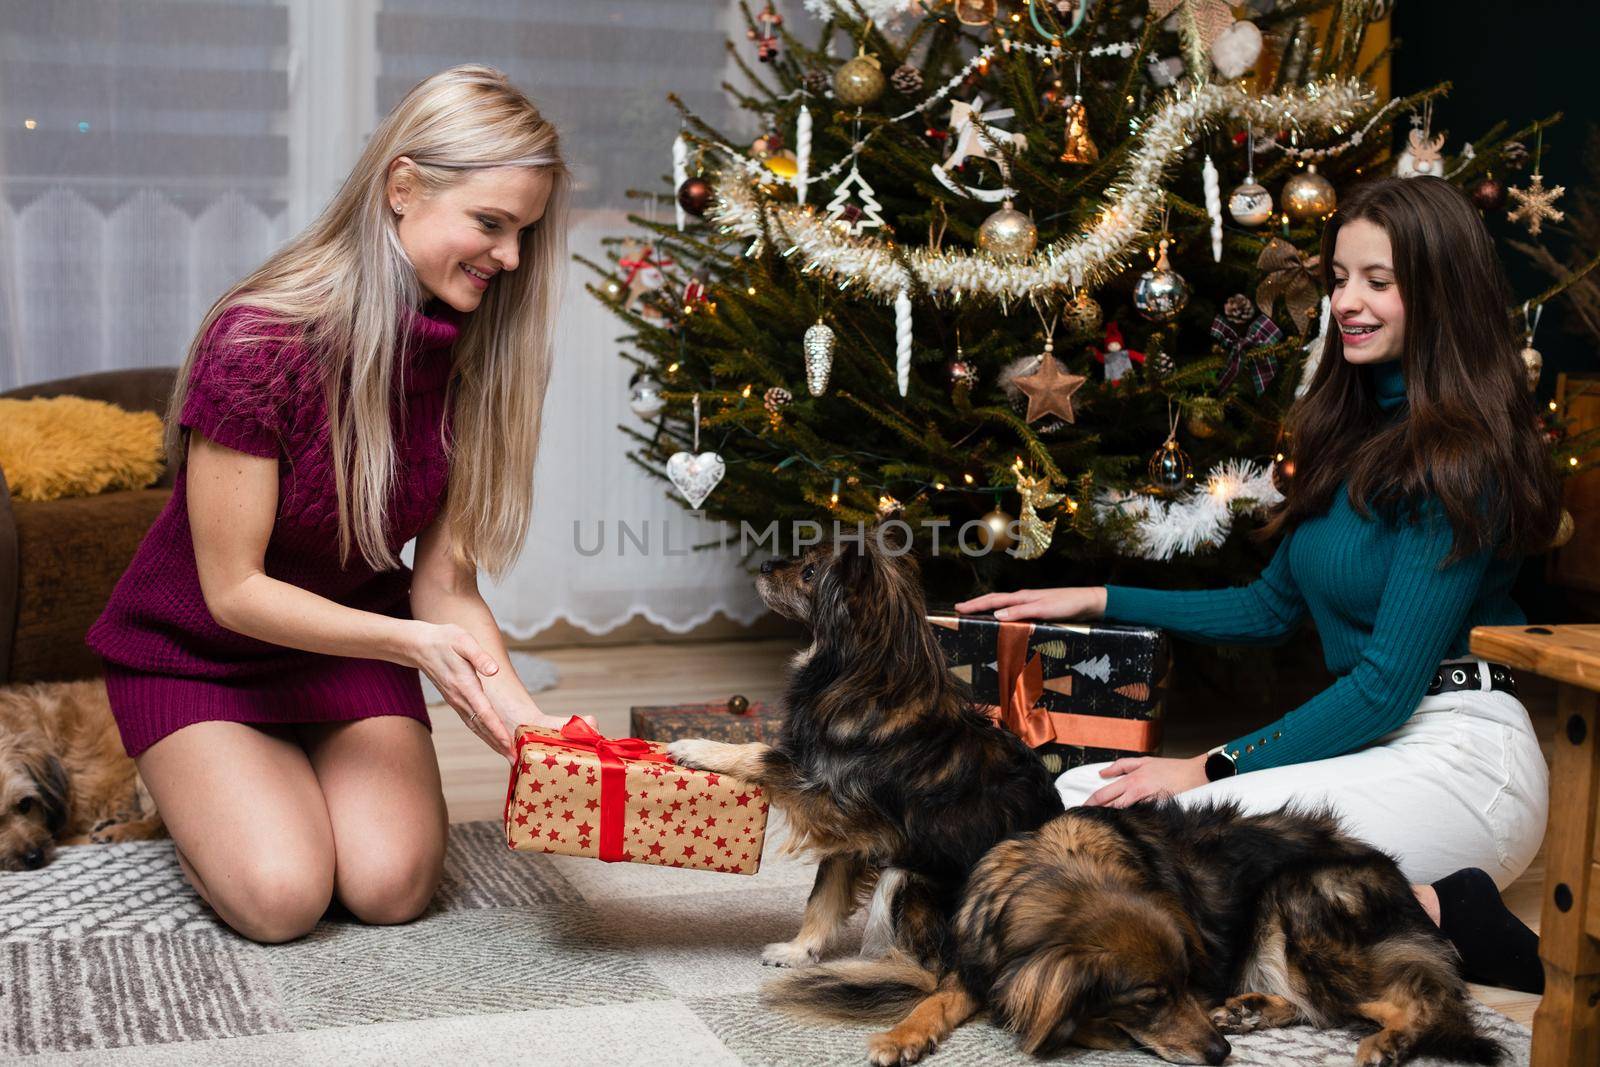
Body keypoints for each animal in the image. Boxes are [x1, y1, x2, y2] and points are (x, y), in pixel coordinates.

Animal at [665, 537, 1062, 1055]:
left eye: (810, 573)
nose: (766, 563)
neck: (865, 678)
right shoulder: (851, 839)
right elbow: (823, 897)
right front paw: (800, 950)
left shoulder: (848, 812)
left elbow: (762, 752)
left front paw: (701, 748)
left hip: (907, 878)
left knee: (933, 977)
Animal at [768, 806, 1504, 1062]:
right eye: (1151, 998)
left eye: (1181, 985)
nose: (1219, 1056)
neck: (1060, 875)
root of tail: (1403, 884)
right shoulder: (976, 963)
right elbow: (939, 997)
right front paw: (903, 1035)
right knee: (1322, 1006)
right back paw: (1249, 1009)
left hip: (1298, 911)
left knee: (1421, 999)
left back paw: (1389, 1042)